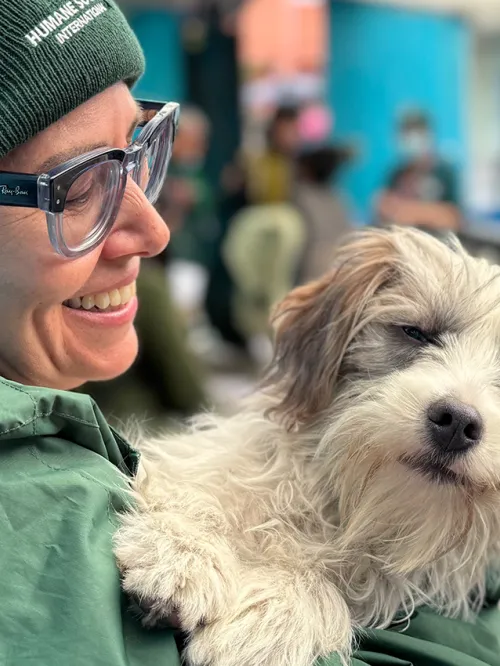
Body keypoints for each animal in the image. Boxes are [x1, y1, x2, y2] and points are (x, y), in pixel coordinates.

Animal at [115, 226, 500, 664]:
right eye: (416, 332)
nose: (458, 422)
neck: (349, 513)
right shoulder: (191, 458)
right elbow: (202, 488)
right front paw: (184, 551)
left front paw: (277, 616)